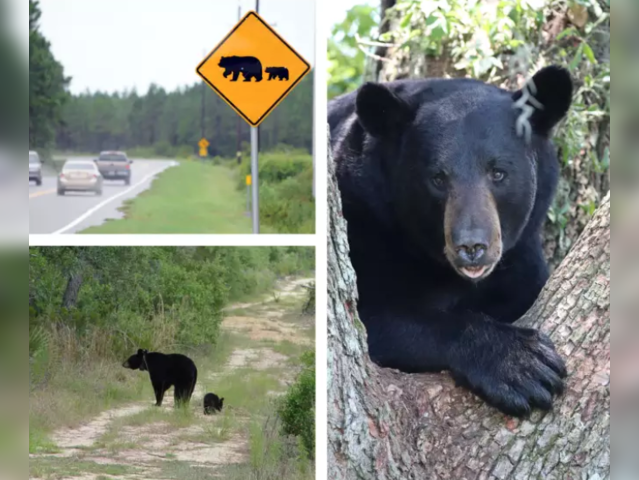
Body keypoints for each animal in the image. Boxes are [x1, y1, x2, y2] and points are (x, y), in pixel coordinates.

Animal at [330, 65, 576, 418]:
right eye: (437, 178)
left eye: (498, 173)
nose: (471, 247)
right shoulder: (365, 227)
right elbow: (377, 320)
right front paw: (522, 364)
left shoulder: (521, 256)